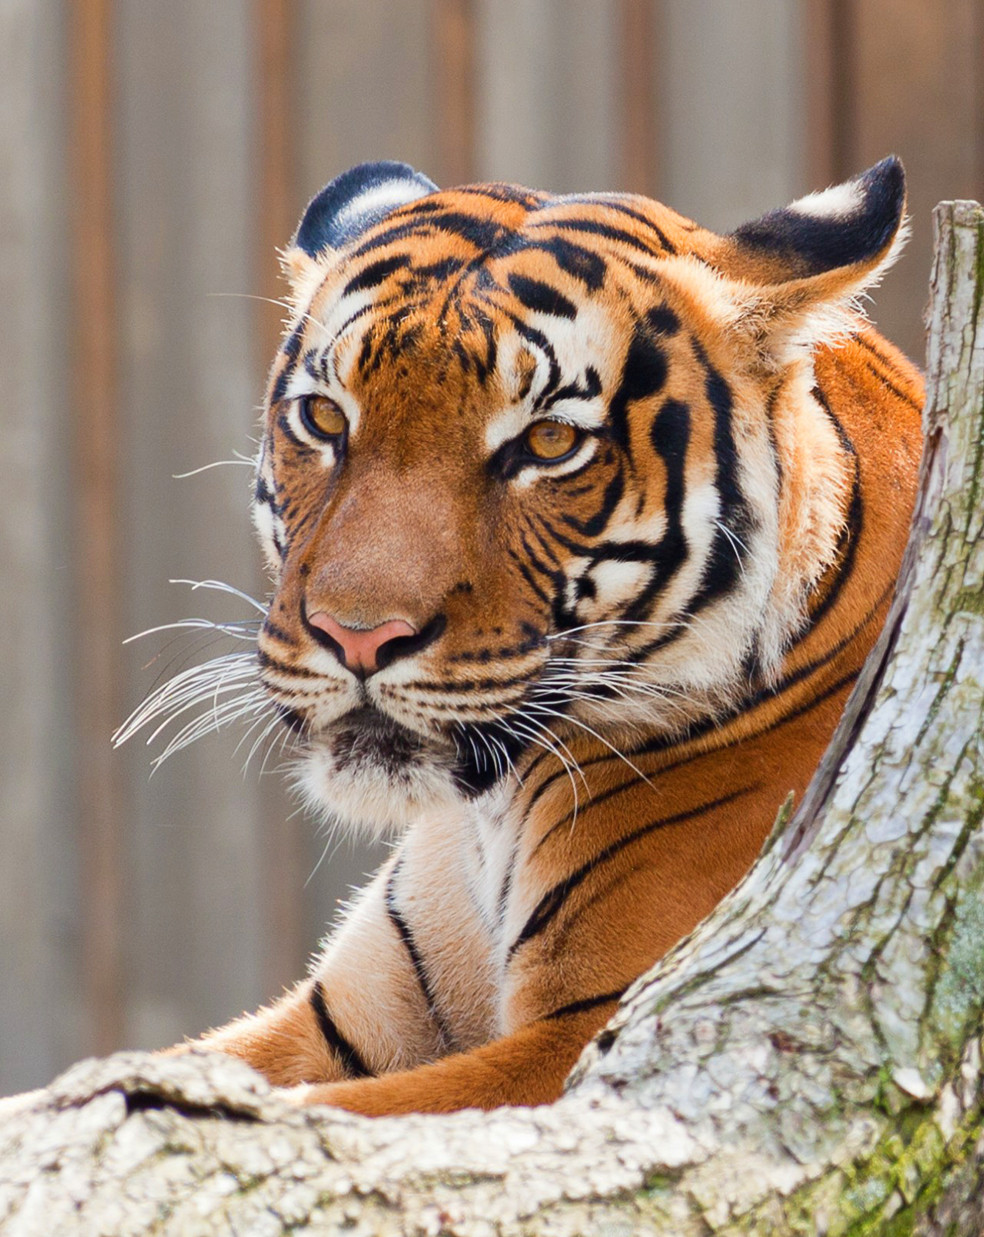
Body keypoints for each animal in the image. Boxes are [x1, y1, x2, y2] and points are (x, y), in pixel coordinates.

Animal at [146, 152, 925, 1113]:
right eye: (326, 419)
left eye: (549, 443)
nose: (356, 638)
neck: (490, 815)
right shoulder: (345, 1013)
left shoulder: (590, 1035)